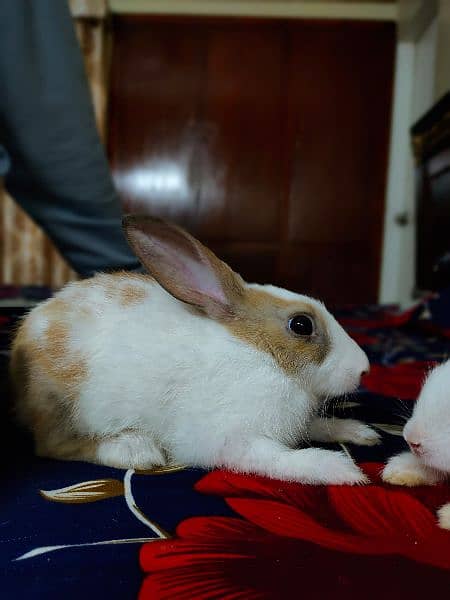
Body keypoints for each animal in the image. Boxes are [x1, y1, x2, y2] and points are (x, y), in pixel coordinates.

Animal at [9, 216, 376, 482]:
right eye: (301, 325)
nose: (363, 369)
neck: (263, 355)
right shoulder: (232, 439)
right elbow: (276, 458)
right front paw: (340, 470)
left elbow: (315, 426)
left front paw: (359, 432)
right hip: (63, 405)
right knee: (53, 444)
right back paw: (134, 449)